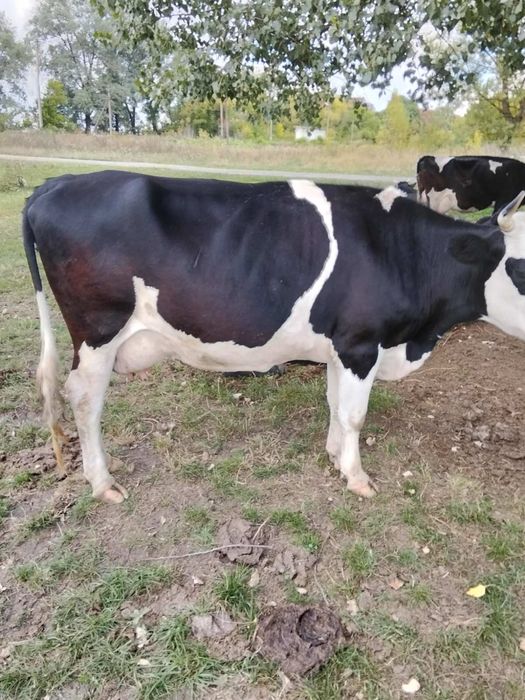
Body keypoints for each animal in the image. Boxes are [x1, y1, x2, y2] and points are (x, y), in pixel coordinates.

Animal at [23, 171, 525, 505]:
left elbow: (335, 404)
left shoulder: (340, 346)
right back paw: (103, 483)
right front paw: (357, 476)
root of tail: (55, 184)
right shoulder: (361, 343)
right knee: (84, 398)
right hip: (97, 331)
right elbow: (355, 415)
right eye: (520, 268)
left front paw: (334, 455)